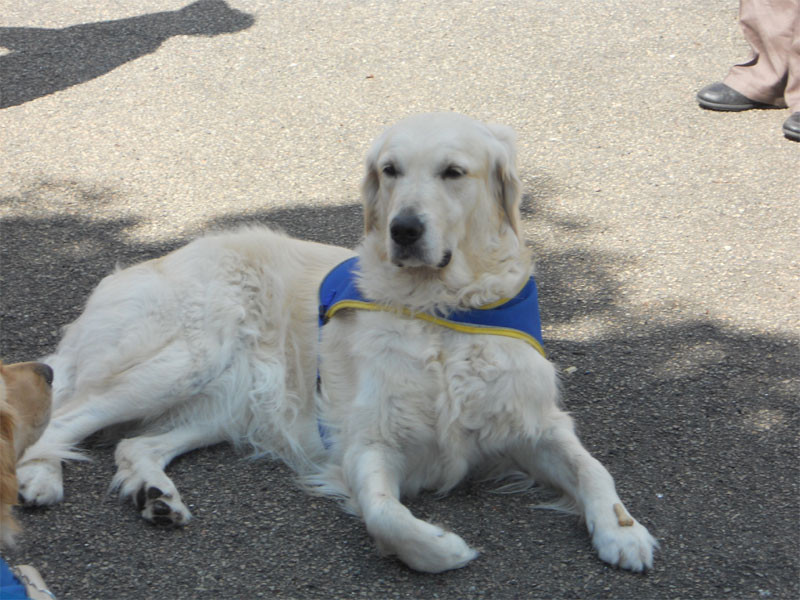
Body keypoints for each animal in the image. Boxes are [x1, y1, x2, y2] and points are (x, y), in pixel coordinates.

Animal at [17, 111, 656, 572]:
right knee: (62, 416)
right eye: (391, 170)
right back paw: (38, 476)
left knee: (133, 443)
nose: (404, 229)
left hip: (235, 400)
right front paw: (439, 548)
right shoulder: (368, 441)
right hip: (186, 357)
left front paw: (622, 531)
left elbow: (594, 471)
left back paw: (154, 493)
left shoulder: (535, 423)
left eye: (453, 172)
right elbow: (384, 514)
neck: (440, 312)